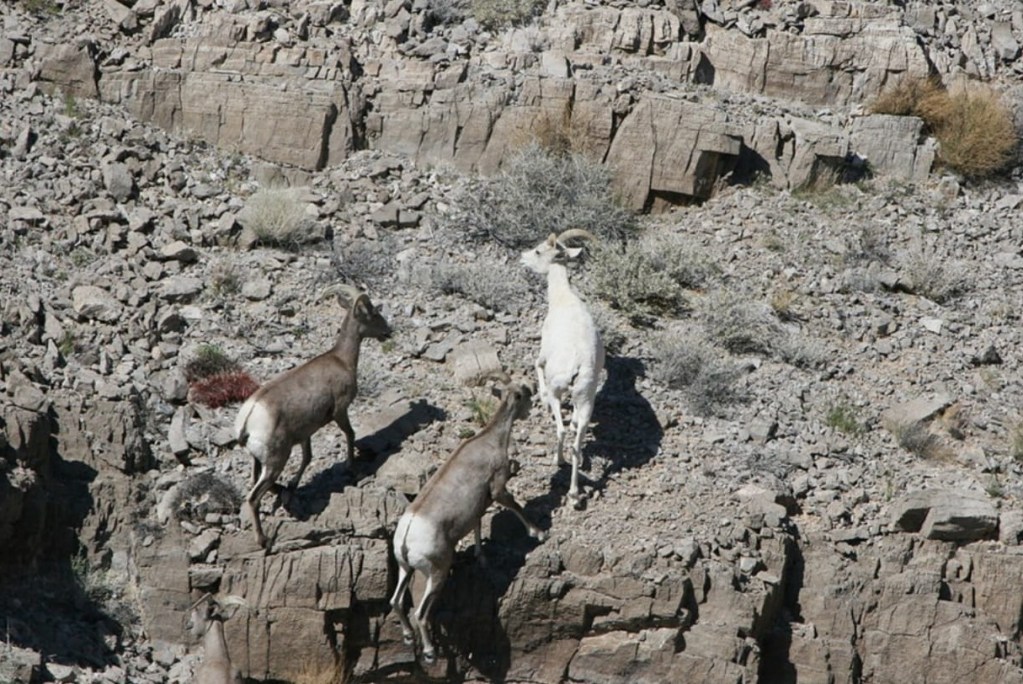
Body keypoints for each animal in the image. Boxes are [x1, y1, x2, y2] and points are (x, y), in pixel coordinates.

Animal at [234, 284, 392, 548]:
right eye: (373, 314)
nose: (388, 332)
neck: (342, 360)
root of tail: (249, 419)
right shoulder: (340, 412)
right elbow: (351, 435)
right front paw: (350, 467)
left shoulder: (306, 433)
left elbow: (308, 458)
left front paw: (293, 485)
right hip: (276, 461)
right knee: (253, 498)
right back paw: (263, 541)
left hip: (258, 461)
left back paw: (282, 491)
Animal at [390, 376, 546, 664]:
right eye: (525, 395)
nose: (531, 408)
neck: (490, 441)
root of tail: (406, 538)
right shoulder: (498, 490)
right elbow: (516, 507)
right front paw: (538, 533)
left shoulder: (476, 510)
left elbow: (477, 528)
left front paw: (480, 558)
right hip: (437, 573)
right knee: (421, 613)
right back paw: (429, 653)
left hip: (406, 568)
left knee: (395, 601)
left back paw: (407, 637)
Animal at [520, 228, 604, 508]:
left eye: (538, 251)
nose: (522, 258)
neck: (563, 299)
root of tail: (577, 367)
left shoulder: (543, 357)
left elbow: (536, 365)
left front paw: (542, 397)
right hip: (586, 398)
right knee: (577, 442)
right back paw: (574, 494)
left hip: (561, 391)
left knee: (560, 429)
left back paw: (558, 461)